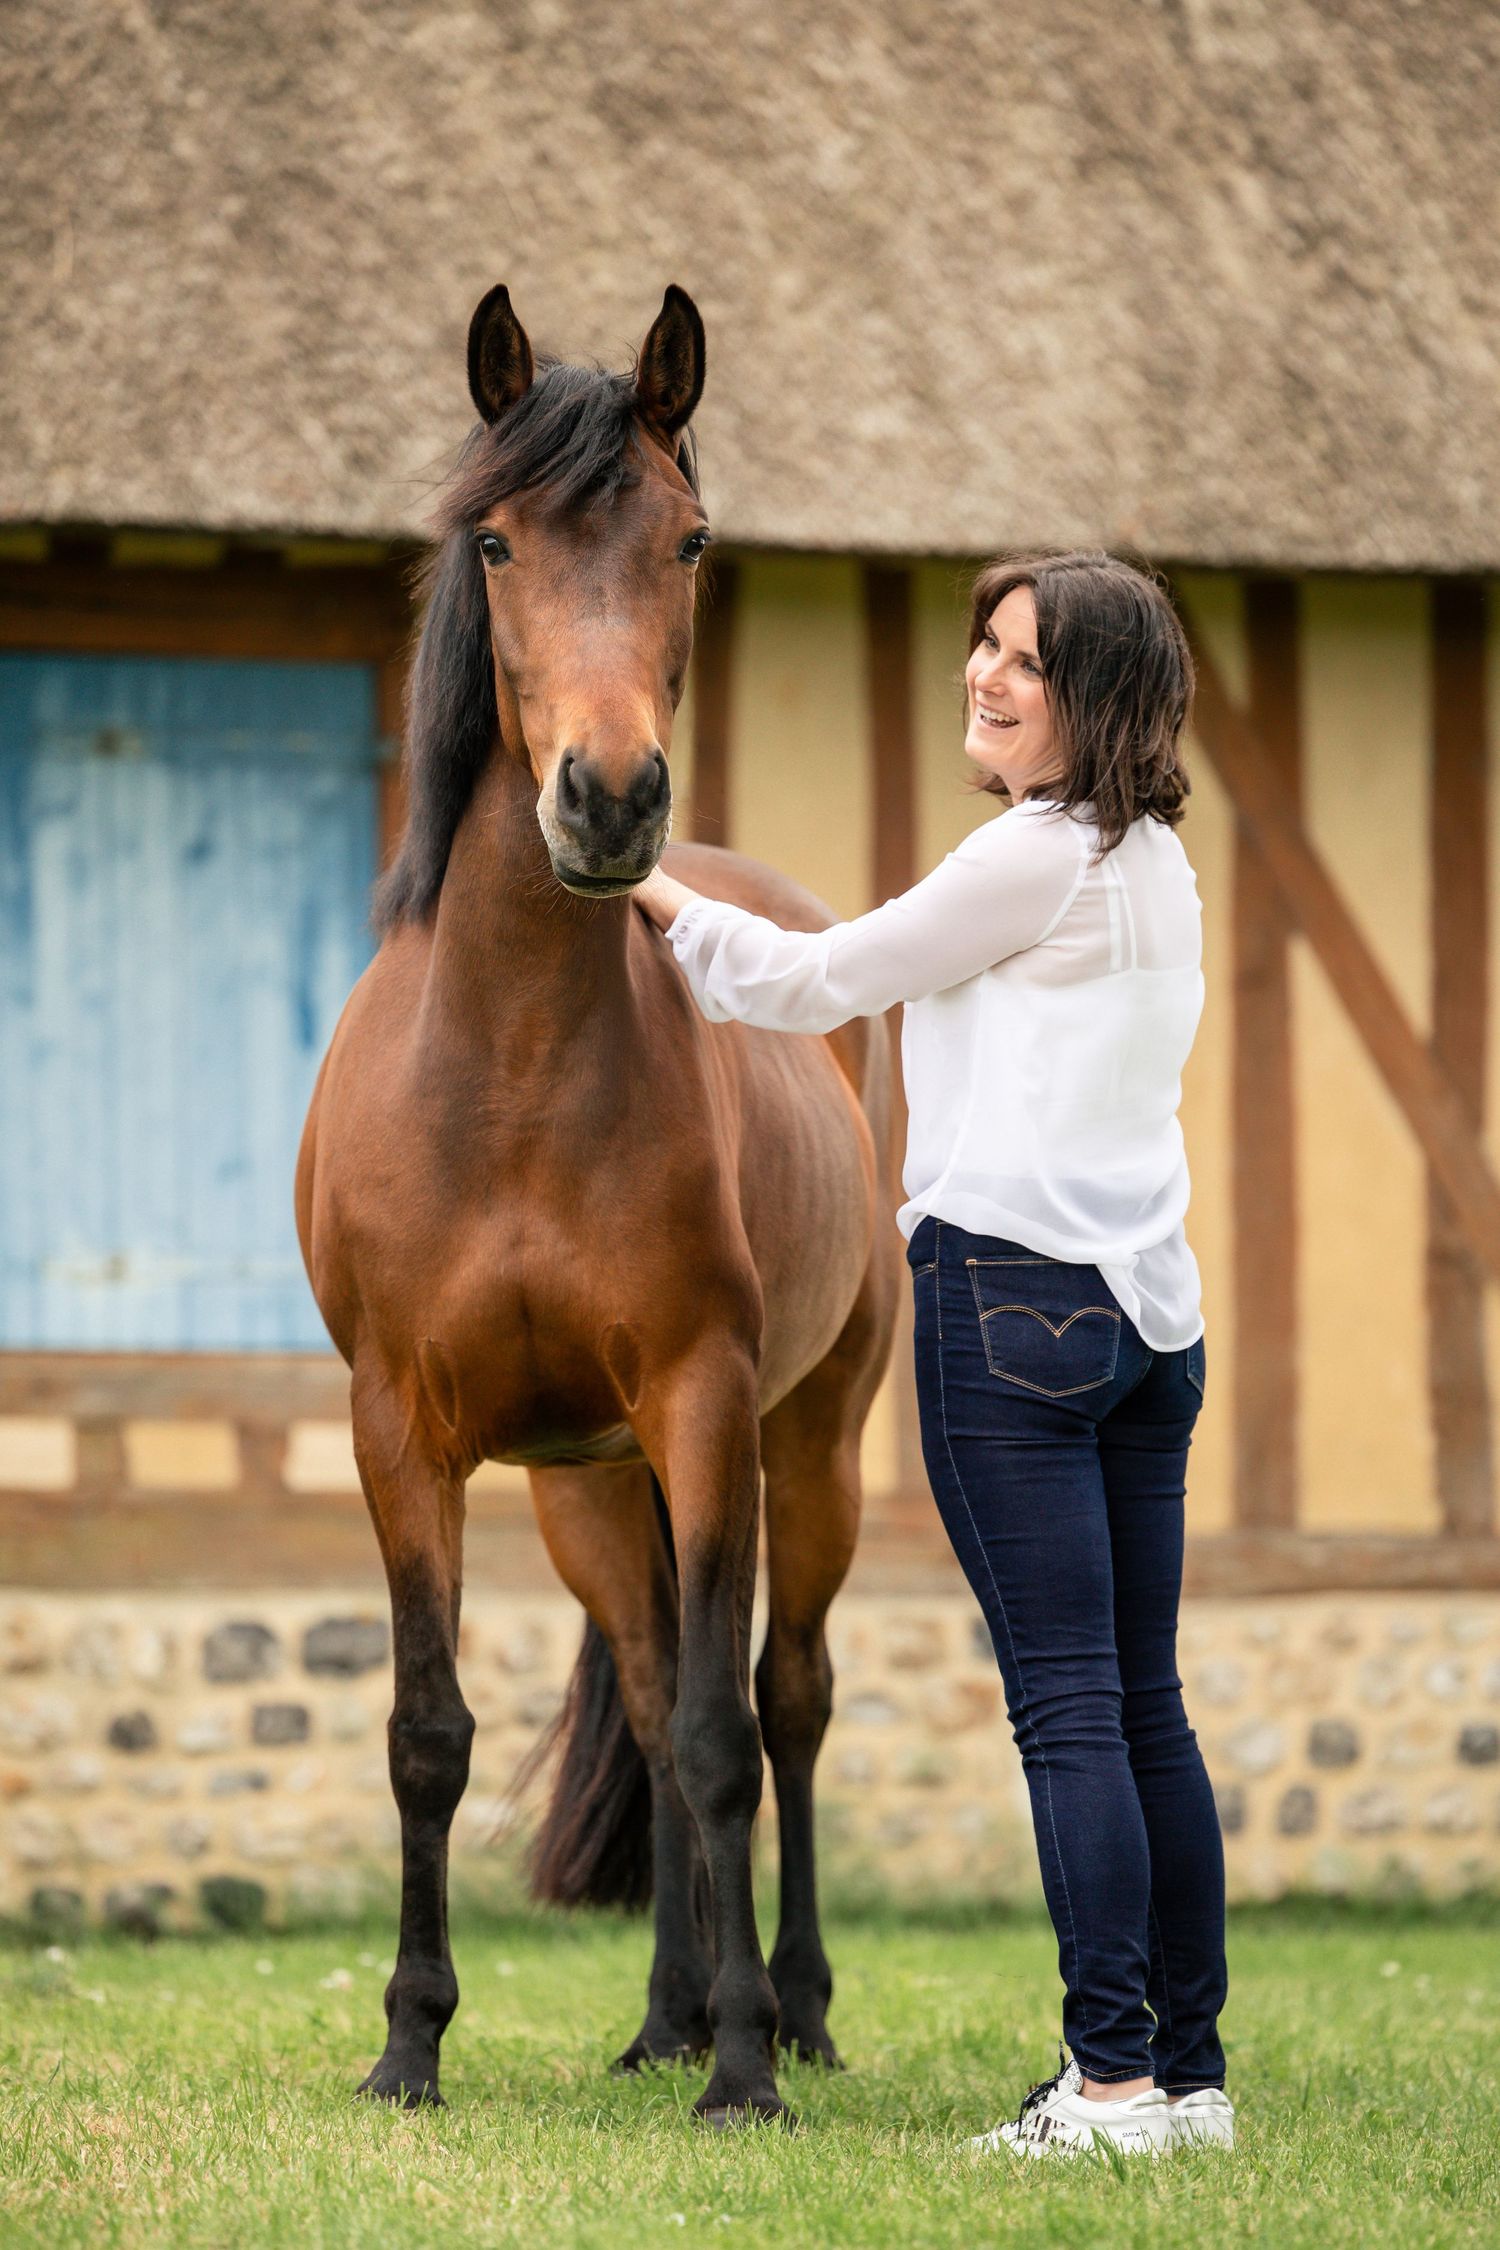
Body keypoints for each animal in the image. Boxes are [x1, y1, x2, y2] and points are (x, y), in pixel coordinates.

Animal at [295, 283, 899, 2126]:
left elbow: (722, 1737)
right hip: (587, 1491)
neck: (510, 1067)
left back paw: (787, 2009)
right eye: (495, 541)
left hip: (806, 1447)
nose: (610, 799)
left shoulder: (704, 1406)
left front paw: (751, 2075)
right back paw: (663, 2018)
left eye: (688, 540)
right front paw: (410, 2046)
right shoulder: (401, 1433)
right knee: (639, 1694)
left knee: (782, 1701)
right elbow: (430, 1735)